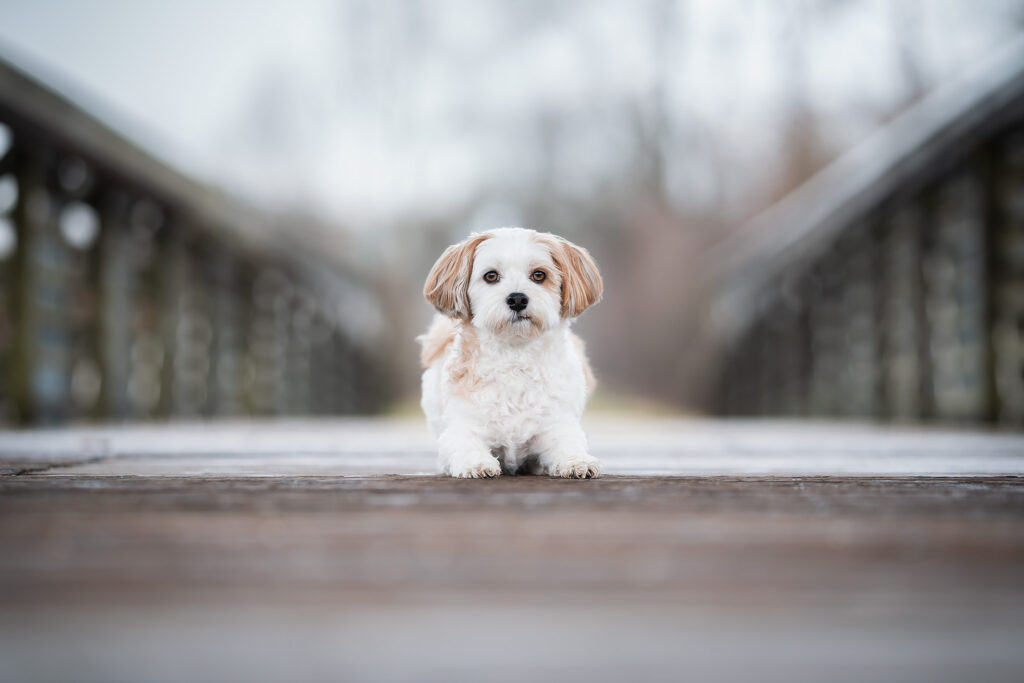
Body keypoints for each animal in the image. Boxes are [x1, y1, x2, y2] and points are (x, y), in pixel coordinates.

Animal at [419, 227, 602, 479]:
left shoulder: (557, 426)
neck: (515, 359)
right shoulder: (460, 429)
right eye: (491, 276)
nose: (517, 298)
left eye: (539, 275)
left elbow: (567, 444)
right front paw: (477, 463)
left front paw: (577, 461)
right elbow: (465, 445)